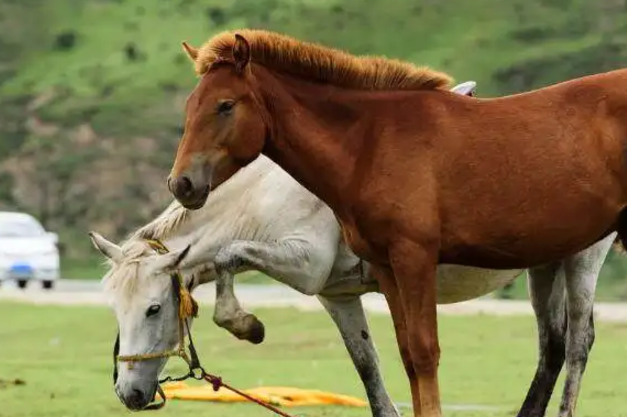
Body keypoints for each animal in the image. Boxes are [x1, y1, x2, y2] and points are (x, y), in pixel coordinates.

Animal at [166, 28, 627, 412]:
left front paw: (244, 322)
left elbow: (424, 354)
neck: (372, 143)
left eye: (225, 105)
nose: (181, 184)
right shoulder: (386, 267)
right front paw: (243, 322)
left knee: (576, 345)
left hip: (582, 258)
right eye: (189, 106)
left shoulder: (413, 258)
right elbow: (404, 355)